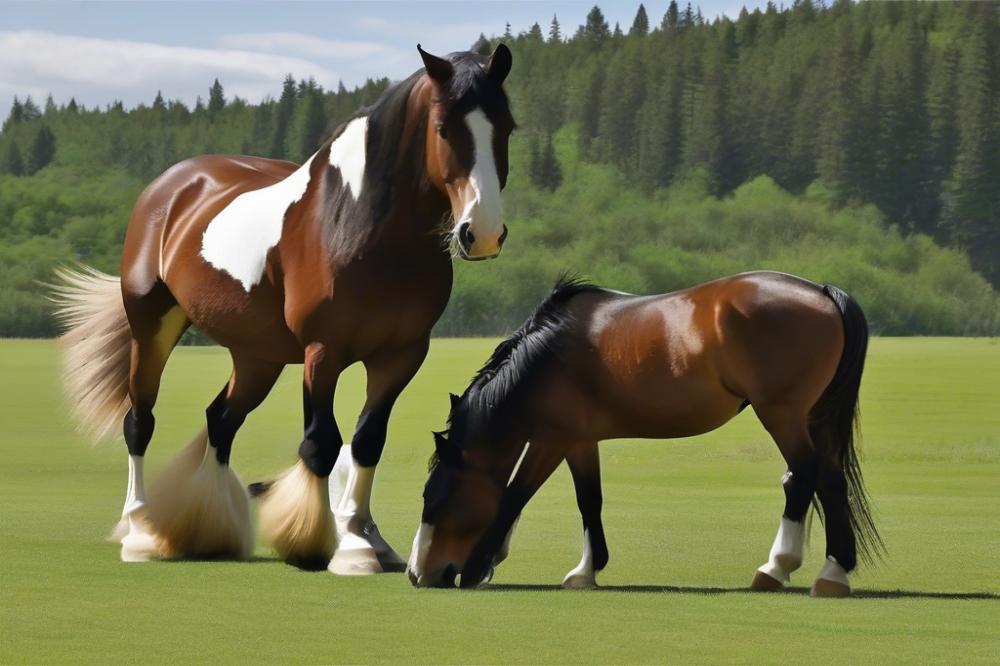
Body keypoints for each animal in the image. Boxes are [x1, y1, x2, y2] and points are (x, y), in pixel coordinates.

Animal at [49, 44, 516, 572]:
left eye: (506, 127)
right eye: (442, 128)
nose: (482, 233)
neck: (359, 224)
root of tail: (170, 186)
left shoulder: (401, 355)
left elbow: (367, 441)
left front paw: (365, 538)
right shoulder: (323, 351)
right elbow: (320, 443)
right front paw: (325, 541)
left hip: (258, 357)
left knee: (220, 421)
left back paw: (209, 529)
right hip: (152, 327)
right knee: (140, 420)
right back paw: (140, 531)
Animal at [408, 272, 884, 592]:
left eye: (436, 497)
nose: (417, 574)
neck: (548, 355)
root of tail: (821, 291)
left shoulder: (552, 439)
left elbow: (513, 495)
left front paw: (478, 566)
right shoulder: (580, 441)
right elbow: (589, 501)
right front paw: (584, 570)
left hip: (782, 415)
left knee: (803, 476)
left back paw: (777, 567)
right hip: (814, 417)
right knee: (830, 480)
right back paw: (833, 573)